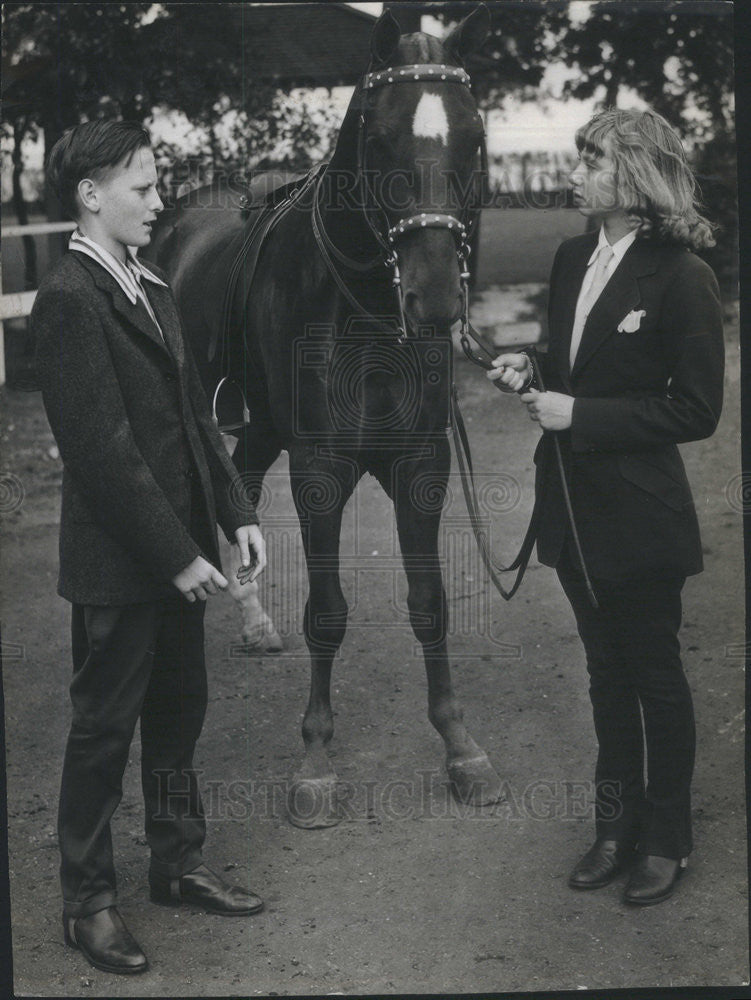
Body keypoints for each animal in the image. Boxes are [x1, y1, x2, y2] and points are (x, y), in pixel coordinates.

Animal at [149, 7, 502, 824]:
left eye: (473, 138)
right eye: (381, 139)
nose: (435, 297)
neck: (364, 311)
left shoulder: (421, 466)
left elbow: (431, 605)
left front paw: (461, 747)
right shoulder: (320, 472)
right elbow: (328, 614)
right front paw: (315, 761)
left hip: (260, 428)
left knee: (241, 488)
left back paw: (253, 621)